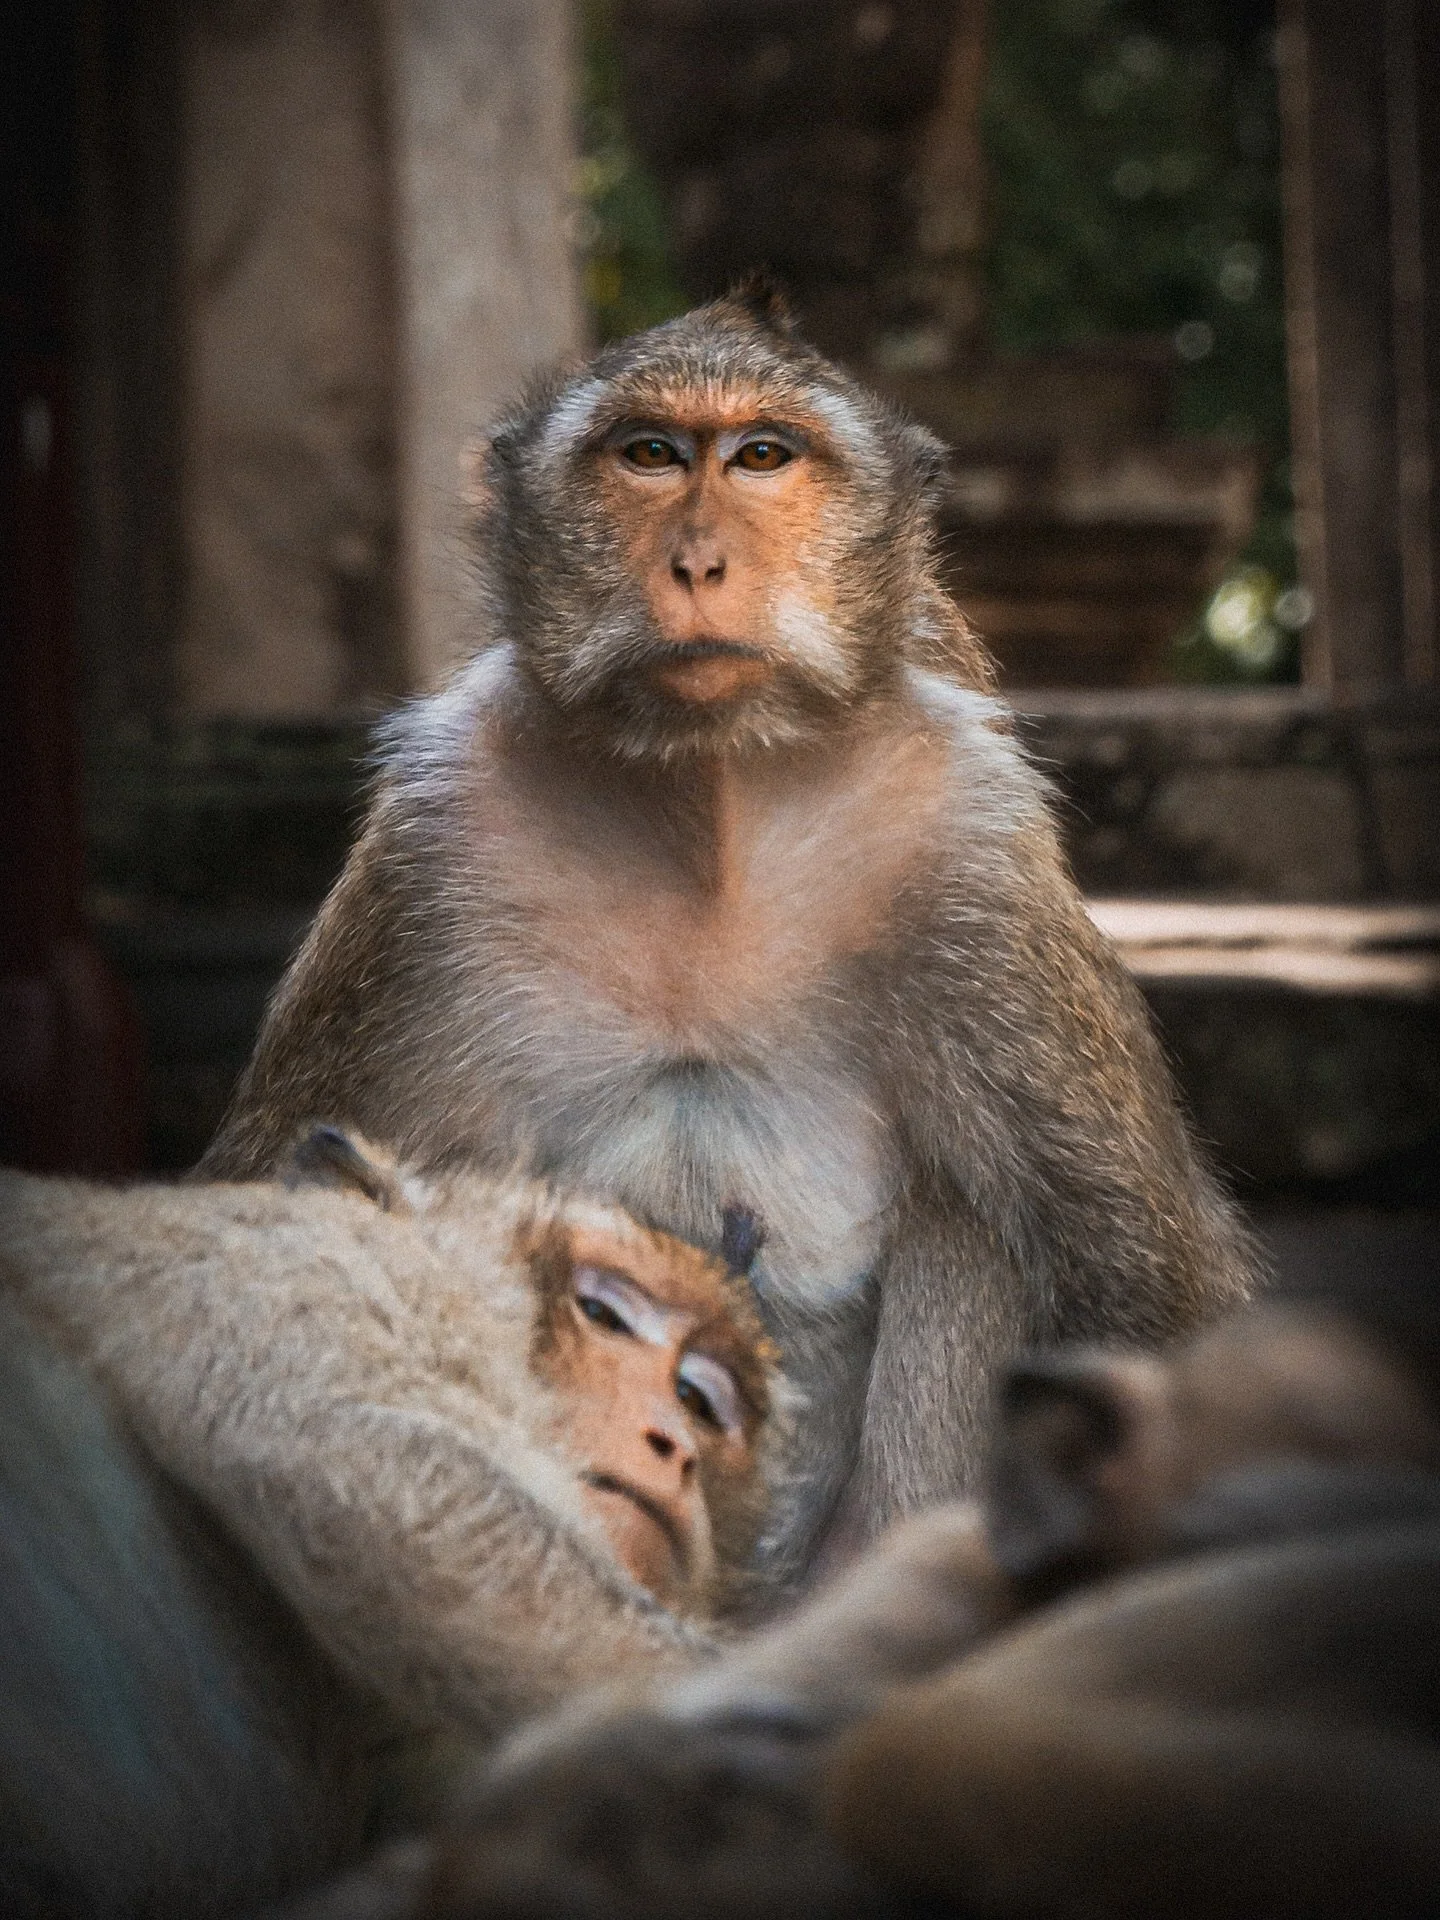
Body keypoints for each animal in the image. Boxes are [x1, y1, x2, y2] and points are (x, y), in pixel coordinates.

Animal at [198, 276, 1257, 1589]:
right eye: (649, 455)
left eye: (762, 456)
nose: (697, 559)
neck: (711, 803)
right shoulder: (431, 852)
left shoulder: (972, 859)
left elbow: (1139, 1280)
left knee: (973, 1220)